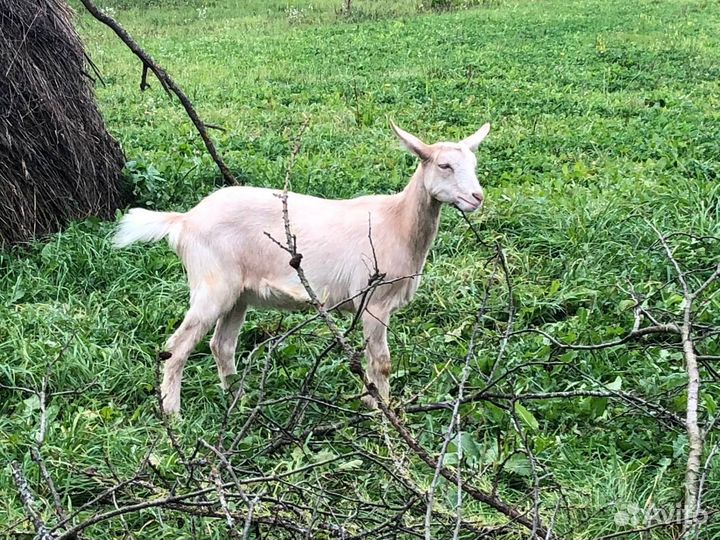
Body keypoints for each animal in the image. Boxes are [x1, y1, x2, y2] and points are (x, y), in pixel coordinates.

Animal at [114, 121, 490, 414]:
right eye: (444, 165)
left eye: (474, 163)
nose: (477, 197)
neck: (396, 222)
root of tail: (184, 220)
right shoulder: (374, 301)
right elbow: (381, 362)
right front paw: (383, 413)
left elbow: (370, 359)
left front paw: (371, 404)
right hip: (212, 283)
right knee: (177, 347)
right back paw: (173, 413)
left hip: (238, 294)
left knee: (222, 345)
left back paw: (237, 399)